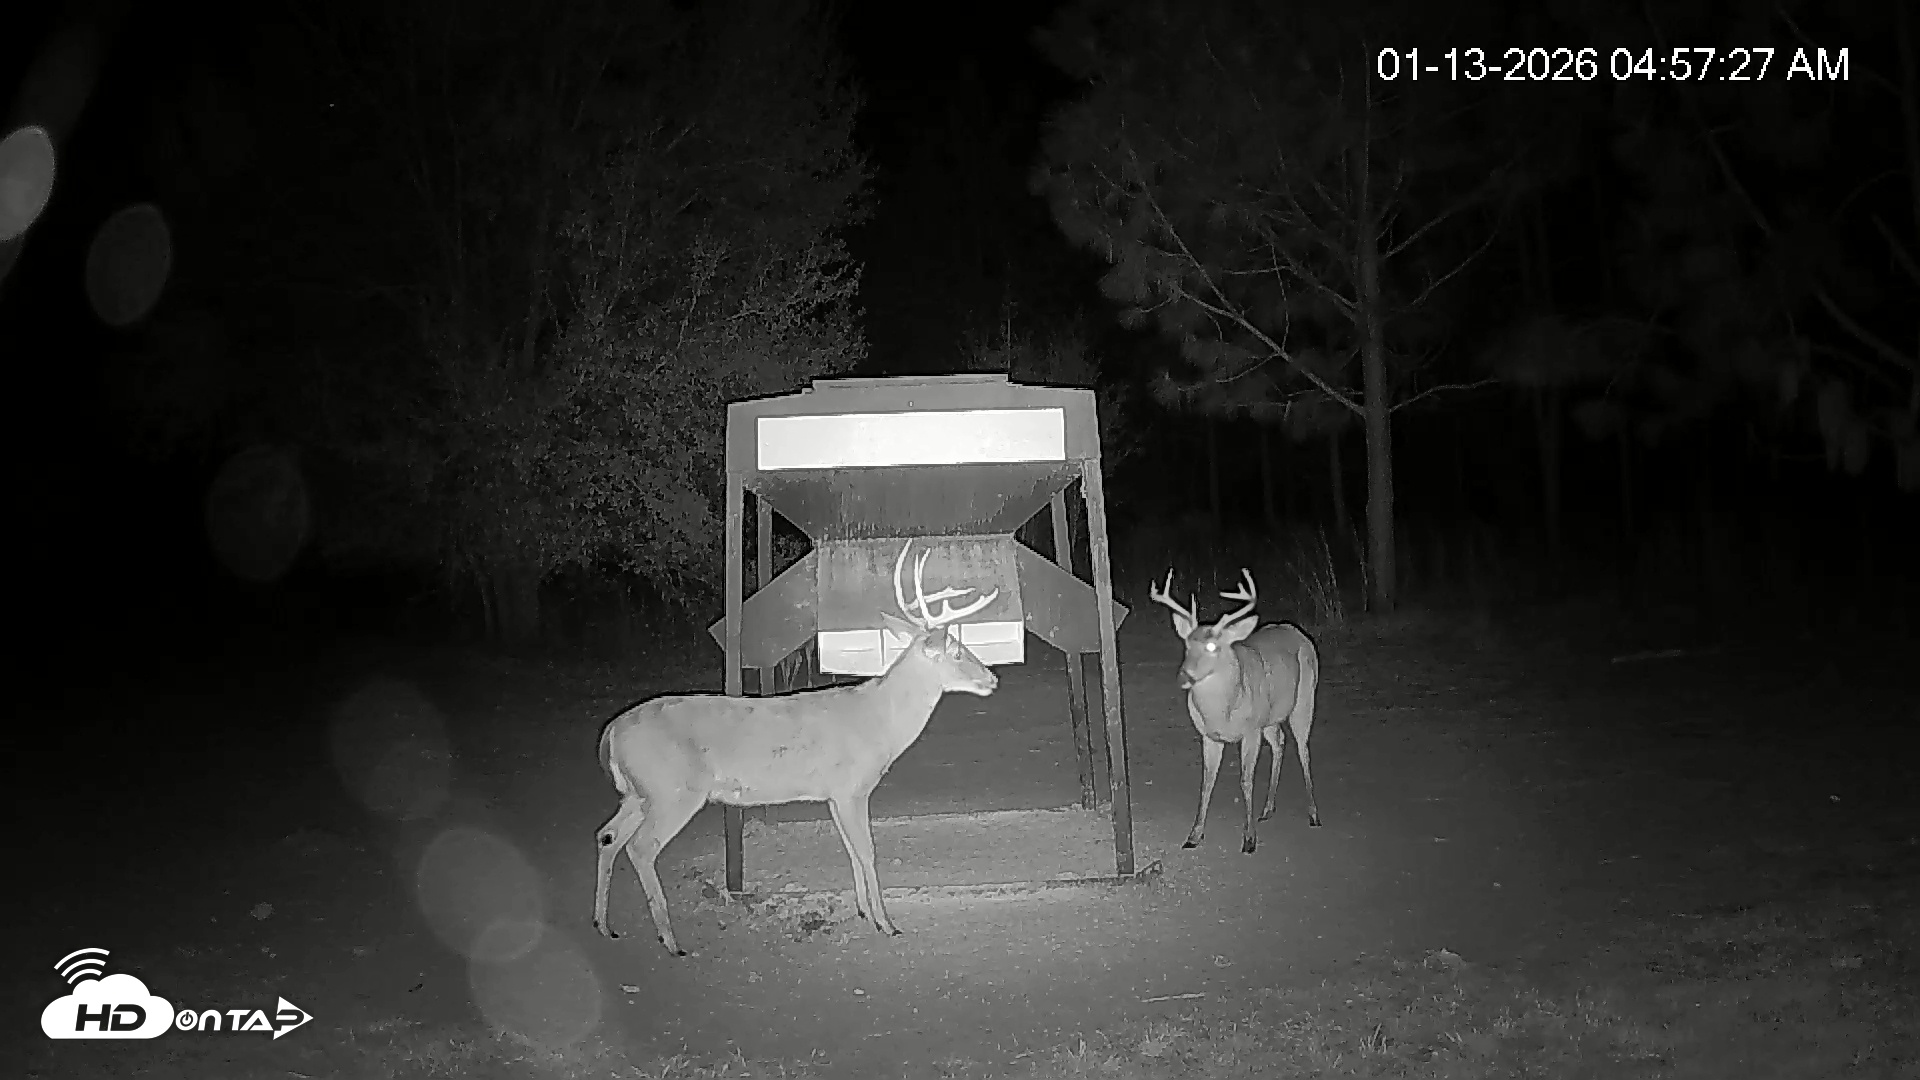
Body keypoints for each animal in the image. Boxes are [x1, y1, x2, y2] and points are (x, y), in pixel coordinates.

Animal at [592, 539, 1000, 955]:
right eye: (957, 652)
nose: (992, 678)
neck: (879, 721)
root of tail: (610, 733)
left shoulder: (834, 794)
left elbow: (851, 850)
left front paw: (864, 912)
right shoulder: (852, 787)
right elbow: (867, 850)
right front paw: (887, 924)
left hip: (639, 794)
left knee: (607, 836)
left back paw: (604, 925)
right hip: (673, 791)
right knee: (640, 847)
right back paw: (671, 940)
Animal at [1148, 567, 1321, 854]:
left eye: (1212, 647)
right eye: (1186, 644)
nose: (1184, 676)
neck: (1222, 712)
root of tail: (1296, 631)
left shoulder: (1250, 731)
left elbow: (1246, 780)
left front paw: (1249, 840)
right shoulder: (1209, 736)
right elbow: (1206, 782)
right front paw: (1194, 836)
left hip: (1304, 700)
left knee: (1303, 749)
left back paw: (1314, 814)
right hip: (1269, 717)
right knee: (1280, 742)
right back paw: (1267, 809)